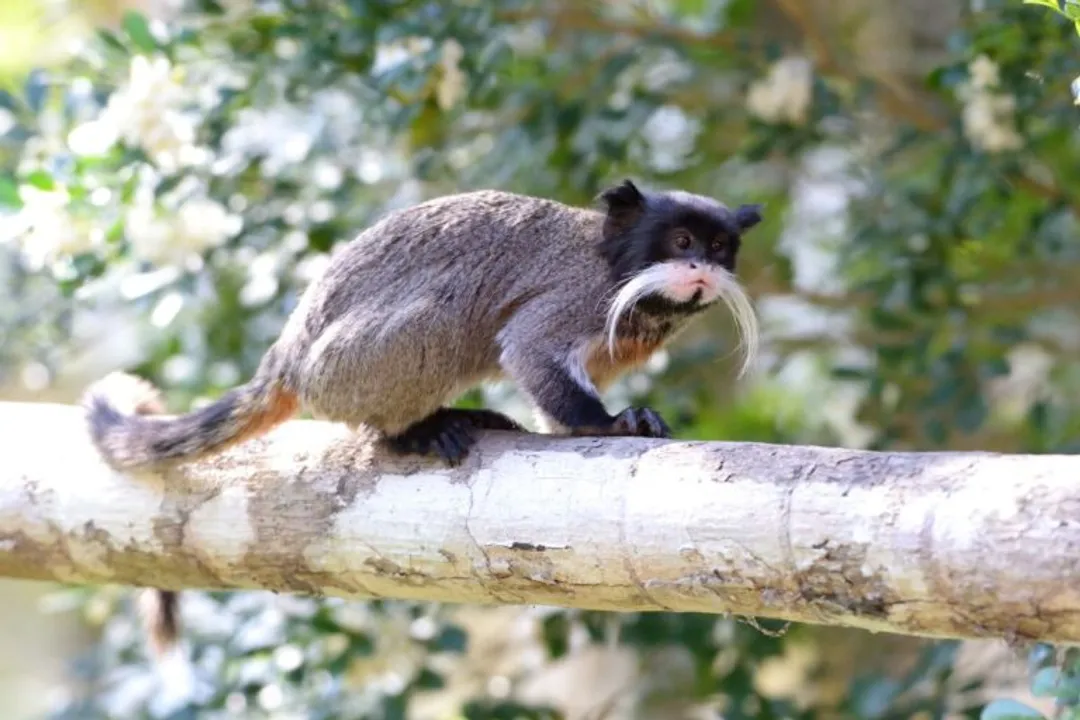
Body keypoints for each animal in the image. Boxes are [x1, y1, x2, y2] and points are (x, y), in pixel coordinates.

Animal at [82, 178, 764, 656]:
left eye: (718, 246)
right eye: (680, 243)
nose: (700, 269)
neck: (620, 268)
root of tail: (289, 357)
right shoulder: (580, 299)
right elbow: (527, 347)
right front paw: (611, 424)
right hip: (345, 367)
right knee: (441, 318)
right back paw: (413, 429)